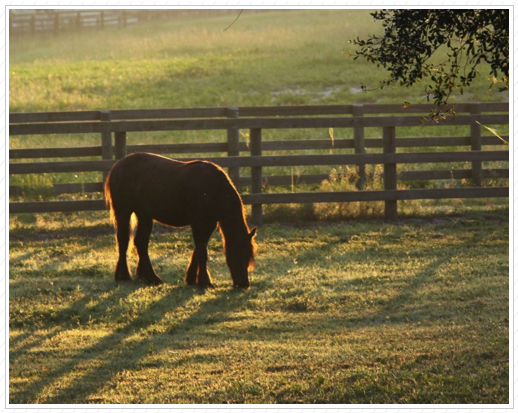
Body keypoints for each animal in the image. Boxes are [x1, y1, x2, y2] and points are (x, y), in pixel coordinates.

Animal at [105, 152, 258, 290]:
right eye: (236, 254)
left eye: (248, 256)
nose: (243, 284)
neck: (211, 188)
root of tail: (117, 166)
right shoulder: (197, 223)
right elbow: (202, 252)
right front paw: (205, 282)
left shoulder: (209, 224)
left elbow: (198, 251)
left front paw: (192, 279)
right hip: (123, 211)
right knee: (123, 241)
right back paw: (123, 276)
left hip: (144, 215)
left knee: (141, 242)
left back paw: (150, 277)